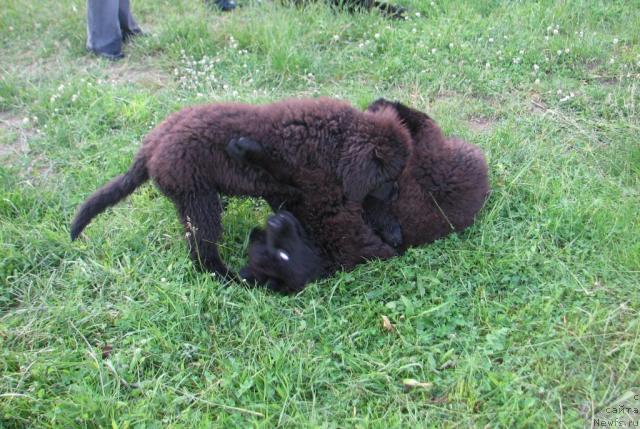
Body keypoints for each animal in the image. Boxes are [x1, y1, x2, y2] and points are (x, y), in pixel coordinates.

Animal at [70, 97, 410, 276]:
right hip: (197, 199)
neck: (335, 142)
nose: (397, 192)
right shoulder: (312, 187)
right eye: (390, 178)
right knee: (202, 252)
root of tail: (150, 147)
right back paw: (225, 276)